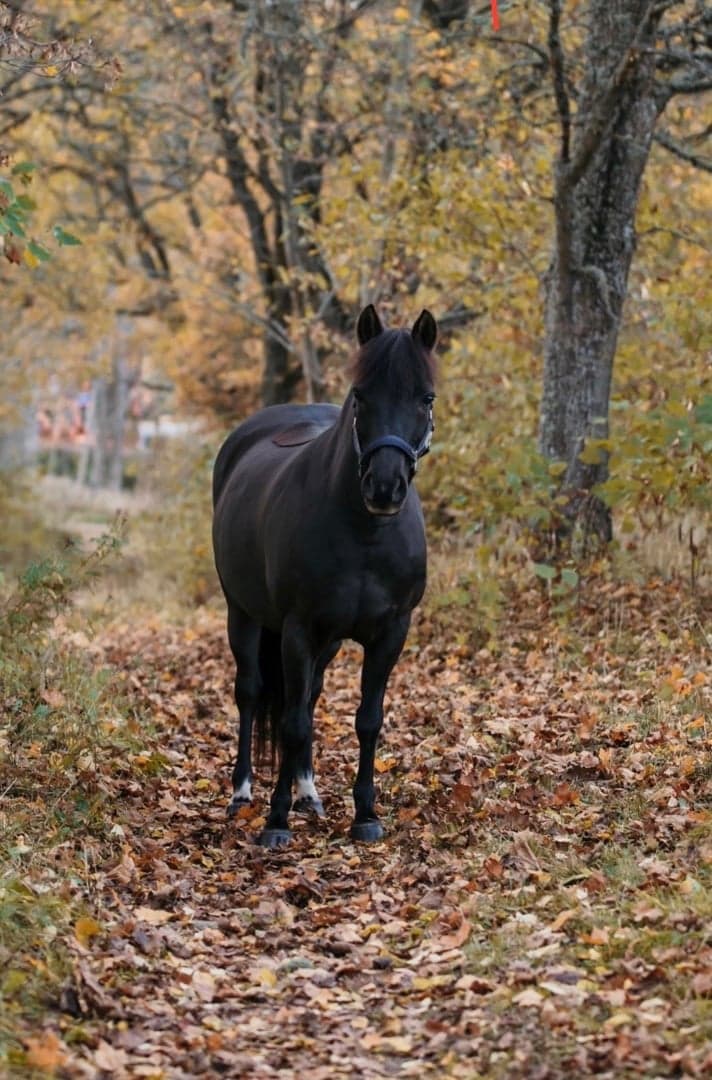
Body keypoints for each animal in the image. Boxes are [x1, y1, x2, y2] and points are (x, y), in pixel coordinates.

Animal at [211, 302, 436, 842]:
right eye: (361, 395)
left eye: (426, 398)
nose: (384, 487)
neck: (365, 534)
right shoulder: (298, 630)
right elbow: (290, 722)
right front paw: (275, 821)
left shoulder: (390, 632)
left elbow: (367, 719)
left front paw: (366, 815)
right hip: (243, 615)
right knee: (251, 693)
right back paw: (243, 793)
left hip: (328, 642)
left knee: (309, 698)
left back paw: (308, 792)